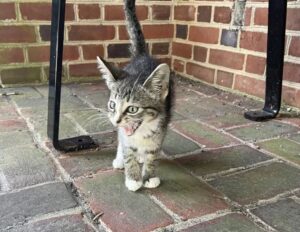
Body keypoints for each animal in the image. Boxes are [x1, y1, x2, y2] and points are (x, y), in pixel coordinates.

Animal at [96, 0, 171, 192]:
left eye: (132, 109)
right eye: (112, 105)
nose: (116, 120)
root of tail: (142, 55)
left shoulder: (161, 126)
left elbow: (153, 153)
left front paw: (149, 176)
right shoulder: (125, 136)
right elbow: (127, 148)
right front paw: (133, 178)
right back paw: (120, 159)